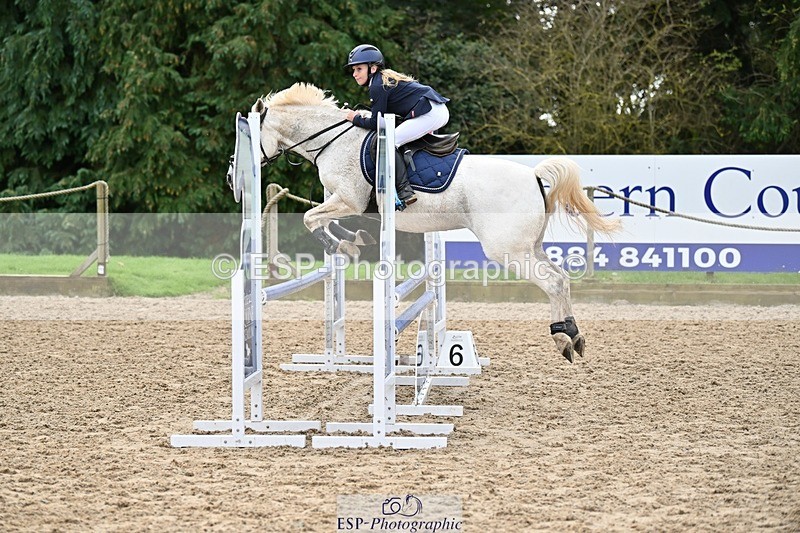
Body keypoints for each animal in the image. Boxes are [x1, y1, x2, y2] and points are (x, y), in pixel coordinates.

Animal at [250, 83, 621, 362]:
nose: (241, 172)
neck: (333, 141)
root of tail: (534, 176)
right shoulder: (344, 202)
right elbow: (324, 218)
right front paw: (352, 240)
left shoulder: (348, 199)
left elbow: (310, 217)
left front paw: (342, 245)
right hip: (530, 246)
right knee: (562, 279)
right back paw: (573, 336)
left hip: (509, 250)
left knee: (553, 282)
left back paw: (562, 339)